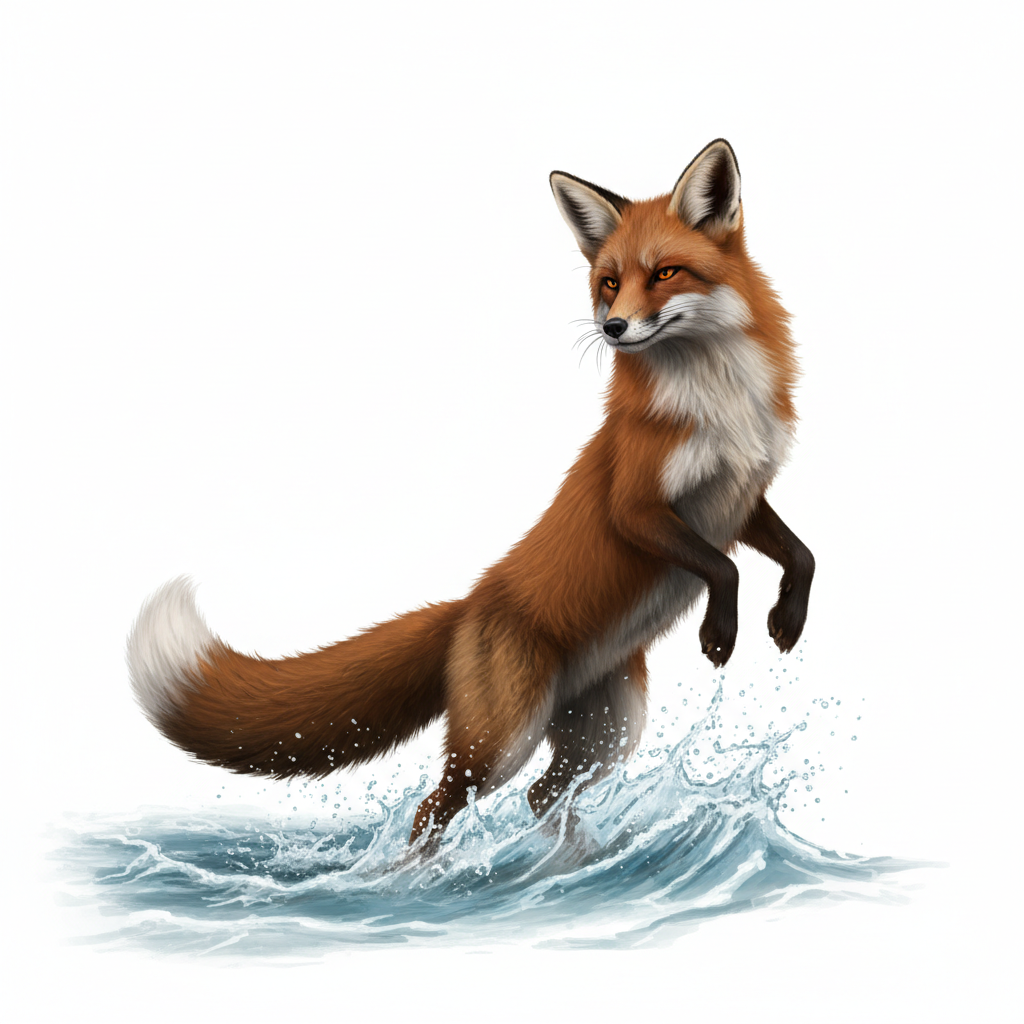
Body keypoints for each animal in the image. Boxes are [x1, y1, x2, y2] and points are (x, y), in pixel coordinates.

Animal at [128, 139, 814, 849]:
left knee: (543, 796)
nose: (615, 328)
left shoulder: (743, 495)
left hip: (606, 733)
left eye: (665, 273)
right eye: (609, 282)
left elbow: (800, 553)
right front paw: (720, 633)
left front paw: (787, 620)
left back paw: (578, 862)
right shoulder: (635, 506)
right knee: (437, 807)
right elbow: (723, 566)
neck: (717, 402)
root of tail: (467, 606)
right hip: (502, 742)